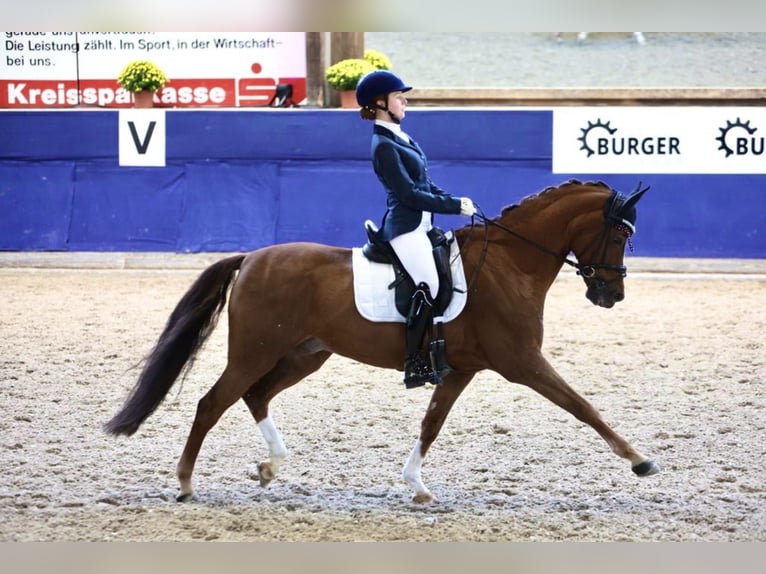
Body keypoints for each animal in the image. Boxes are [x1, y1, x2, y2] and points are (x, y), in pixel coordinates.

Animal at [106, 179, 660, 504]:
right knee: (212, 403)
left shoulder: (462, 368)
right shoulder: (522, 361)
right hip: (255, 351)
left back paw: (269, 466)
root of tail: (252, 257)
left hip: (304, 355)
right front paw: (640, 461)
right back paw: (185, 483)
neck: (509, 263)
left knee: (255, 396)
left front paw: (417, 486)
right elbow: (584, 407)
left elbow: (432, 423)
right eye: (620, 234)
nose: (611, 294)